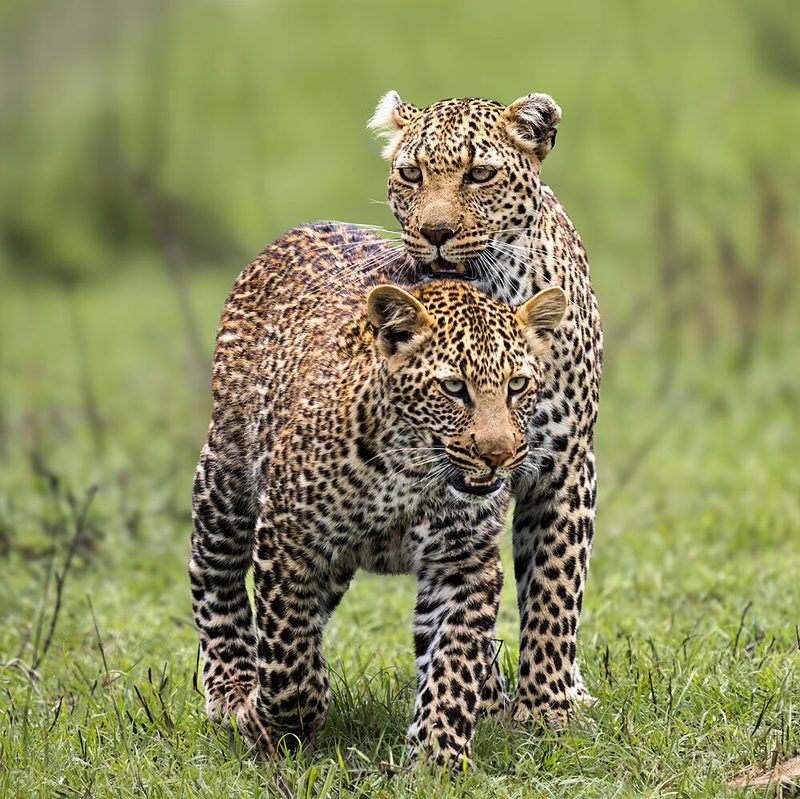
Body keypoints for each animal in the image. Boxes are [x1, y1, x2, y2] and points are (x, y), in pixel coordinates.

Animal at [188, 221, 568, 763]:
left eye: (517, 385)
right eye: (453, 388)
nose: (498, 455)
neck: (409, 475)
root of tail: (305, 226)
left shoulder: (463, 564)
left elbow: (453, 667)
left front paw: (436, 759)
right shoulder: (286, 540)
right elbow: (288, 658)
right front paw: (271, 721)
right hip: (226, 477)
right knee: (214, 576)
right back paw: (230, 687)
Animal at [367, 91, 603, 727]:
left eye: (479, 174)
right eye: (410, 174)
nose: (435, 231)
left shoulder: (564, 467)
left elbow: (553, 586)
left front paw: (547, 710)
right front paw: (491, 702)